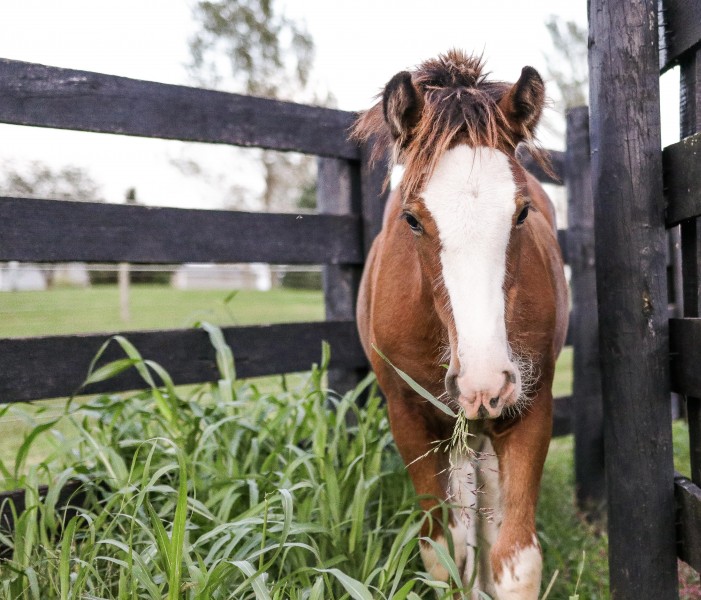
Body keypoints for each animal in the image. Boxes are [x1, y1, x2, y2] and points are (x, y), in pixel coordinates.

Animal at [352, 49, 568, 596]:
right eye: (412, 219)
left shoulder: (528, 410)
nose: (482, 380)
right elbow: (445, 554)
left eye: (522, 213)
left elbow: (516, 559)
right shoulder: (410, 420)